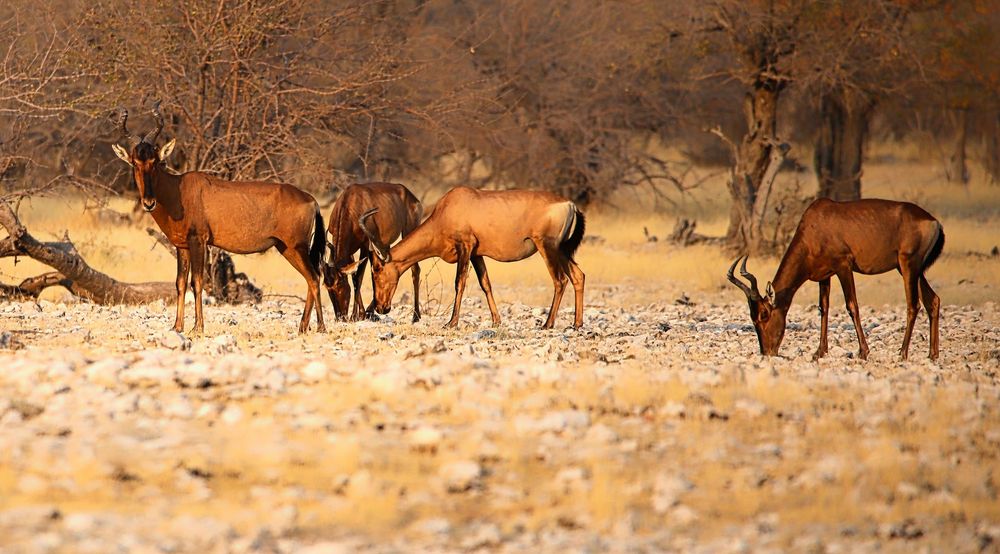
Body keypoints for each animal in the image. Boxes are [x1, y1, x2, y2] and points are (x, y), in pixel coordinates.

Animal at [113, 103, 324, 332]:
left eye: (155, 161)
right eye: (135, 162)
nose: (148, 203)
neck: (179, 189)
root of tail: (311, 200)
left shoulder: (198, 241)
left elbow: (197, 282)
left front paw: (197, 327)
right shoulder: (182, 246)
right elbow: (180, 283)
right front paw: (177, 327)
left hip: (296, 247)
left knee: (314, 278)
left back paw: (321, 327)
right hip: (287, 248)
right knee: (310, 278)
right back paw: (303, 327)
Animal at [324, 181, 422, 320]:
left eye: (339, 283)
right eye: (327, 286)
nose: (340, 317)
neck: (351, 202)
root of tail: (409, 194)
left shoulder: (365, 246)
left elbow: (358, 278)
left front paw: (356, 315)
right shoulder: (350, 250)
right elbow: (354, 276)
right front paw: (361, 314)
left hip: (408, 230)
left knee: (415, 270)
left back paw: (415, 316)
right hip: (383, 244)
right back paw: (372, 310)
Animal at [352, 185, 584, 328]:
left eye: (376, 270)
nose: (381, 308)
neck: (450, 207)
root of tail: (570, 204)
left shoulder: (465, 246)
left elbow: (459, 282)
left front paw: (451, 323)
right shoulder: (476, 254)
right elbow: (485, 284)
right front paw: (496, 321)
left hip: (547, 247)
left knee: (560, 280)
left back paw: (547, 324)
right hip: (562, 249)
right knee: (578, 276)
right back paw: (576, 324)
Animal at [728, 196, 944, 360]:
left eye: (764, 314)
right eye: (752, 317)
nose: (767, 352)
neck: (817, 222)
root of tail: (934, 221)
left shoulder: (844, 267)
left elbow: (852, 306)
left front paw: (863, 352)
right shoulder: (824, 276)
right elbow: (823, 309)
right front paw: (819, 352)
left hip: (908, 265)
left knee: (913, 305)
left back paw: (902, 353)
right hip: (913, 270)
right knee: (932, 300)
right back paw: (932, 354)